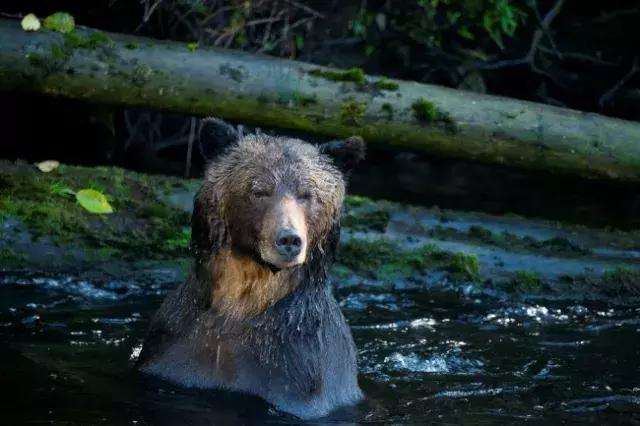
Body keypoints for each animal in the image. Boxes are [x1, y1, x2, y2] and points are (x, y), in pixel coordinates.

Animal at [136, 118, 364, 418]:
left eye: (307, 194)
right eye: (259, 191)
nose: (289, 239)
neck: (242, 300)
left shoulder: (297, 373)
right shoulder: (174, 348)